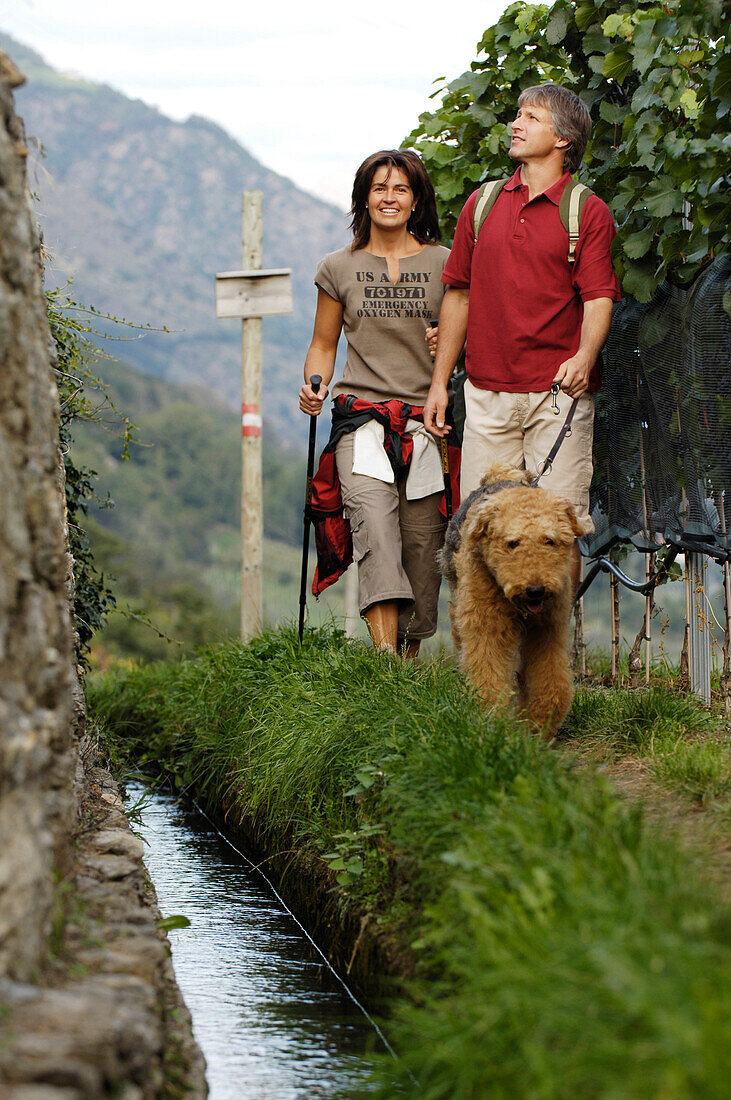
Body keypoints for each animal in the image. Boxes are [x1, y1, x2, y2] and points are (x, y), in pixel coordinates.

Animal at [439, 464, 580, 739]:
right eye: (513, 543)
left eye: (549, 540)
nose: (535, 590)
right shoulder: (487, 626)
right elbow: (488, 673)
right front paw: (490, 717)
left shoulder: (547, 629)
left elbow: (552, 681)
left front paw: (539, 723)